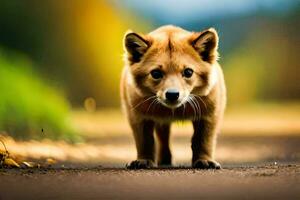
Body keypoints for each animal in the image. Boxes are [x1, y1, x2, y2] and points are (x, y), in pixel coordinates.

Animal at [120, 25, 226, 169]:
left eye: (188, 72)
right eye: (156, 73)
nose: (172, 94)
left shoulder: (210, 114)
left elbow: (204, 139)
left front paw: (205, 160)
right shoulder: (137, 116)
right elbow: (144, 141)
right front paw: (144, 160)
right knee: (162, 138)